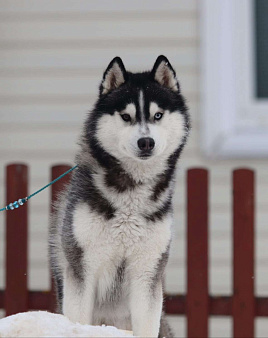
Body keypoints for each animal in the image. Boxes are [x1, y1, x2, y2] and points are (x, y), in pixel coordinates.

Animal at [48, 56, 191, 336]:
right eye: (126, 116)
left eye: (158, 115)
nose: (146, 142)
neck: (131, 196)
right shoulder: (82, 267)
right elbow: (79, 319)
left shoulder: (147, 272)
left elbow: (146, 324)